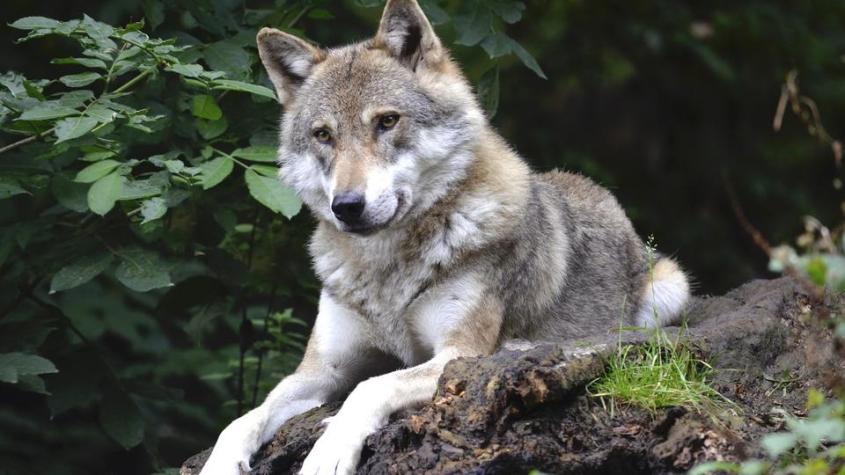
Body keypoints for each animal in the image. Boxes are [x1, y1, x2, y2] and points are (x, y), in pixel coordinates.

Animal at [199, 1, 690, 474]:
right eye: (323, 135)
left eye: (387, 122)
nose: (347, 206)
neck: (387, 269)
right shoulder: (322, 369)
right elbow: (245, 417)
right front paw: (221, 462)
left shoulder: (456, 354)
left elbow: (370, 387)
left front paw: (329, 449)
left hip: (669, 290)